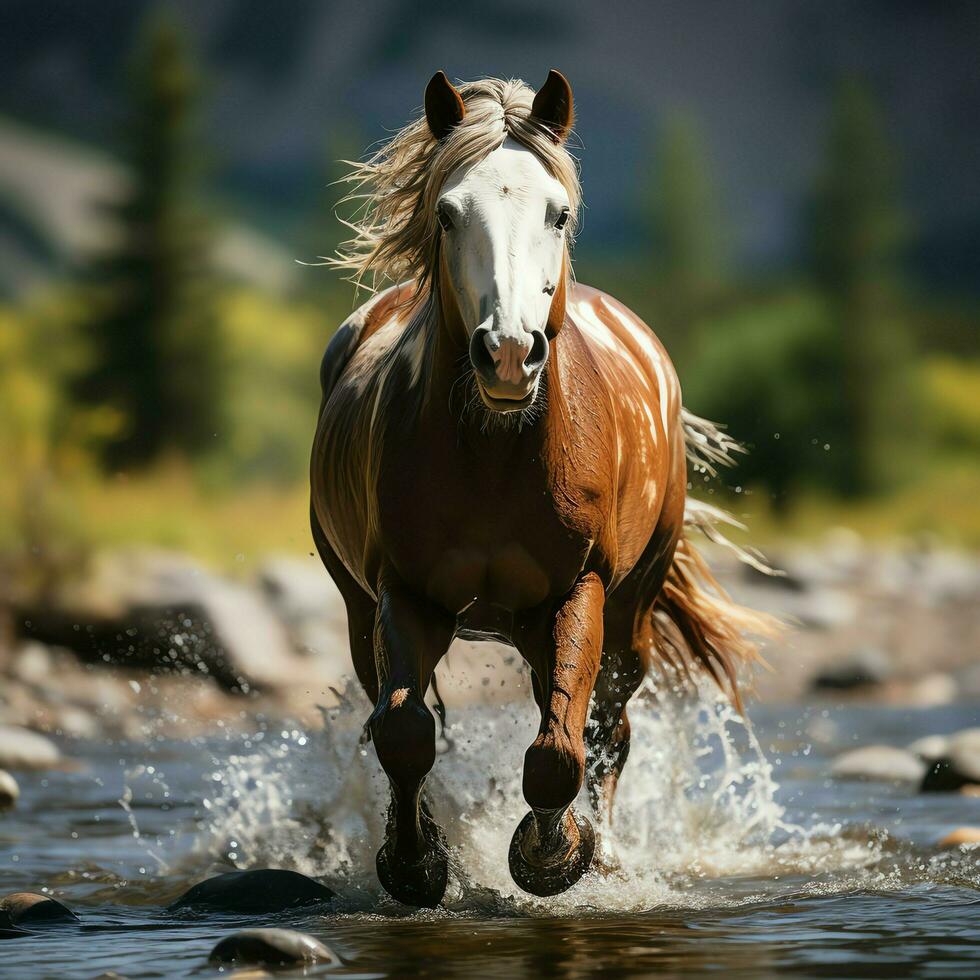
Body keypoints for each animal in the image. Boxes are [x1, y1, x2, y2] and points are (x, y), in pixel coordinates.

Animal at [312, 71, 772, 912]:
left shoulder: (577, 591)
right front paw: (417, 864)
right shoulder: (402, 594)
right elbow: (404, 734)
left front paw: (552, 856)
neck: (498, 454)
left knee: (606, 728)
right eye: (446, 212)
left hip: (628, 612)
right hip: (367, 608)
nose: (508, 354)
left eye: (559, 212)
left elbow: (560, 750)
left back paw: (607, 851)